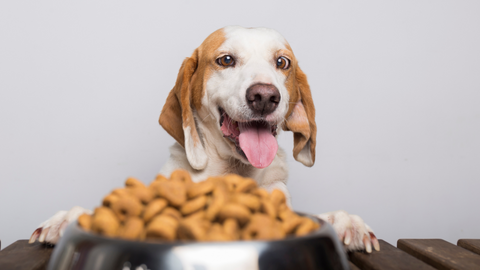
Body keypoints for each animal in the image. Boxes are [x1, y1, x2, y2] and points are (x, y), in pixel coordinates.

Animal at [29, 25, 378, 253]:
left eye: (282, 62)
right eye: (226, 60)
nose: (265, 96)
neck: (230, 172)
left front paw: (347, 222)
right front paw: (66, 219)